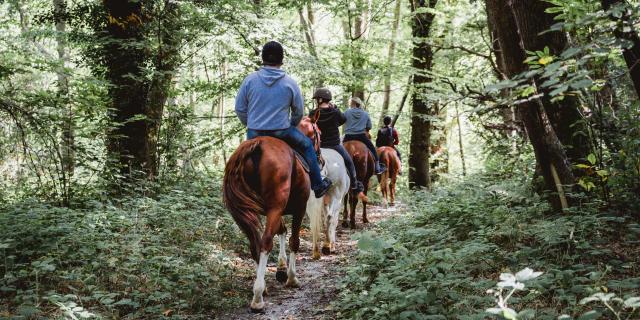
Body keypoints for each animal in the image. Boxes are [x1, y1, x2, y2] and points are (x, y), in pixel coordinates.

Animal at [224, 115, 320, 312]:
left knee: (255, 244)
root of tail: (258, 146)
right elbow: (294, 241)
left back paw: (263, 287)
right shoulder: (298, 208)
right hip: (276, 207)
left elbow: (282, 230)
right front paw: (291, 277)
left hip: (245, 212)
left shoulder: (275, 210)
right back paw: (258, 296)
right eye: (319, 133)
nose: (320, 159)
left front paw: (281, 269)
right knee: (265, 242)